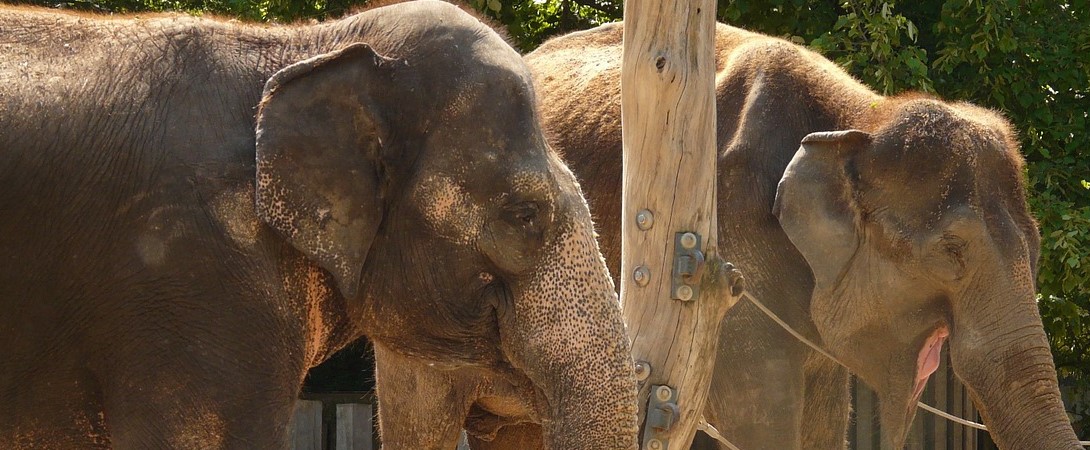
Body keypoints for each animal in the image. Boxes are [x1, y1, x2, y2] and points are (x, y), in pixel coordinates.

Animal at [523, 22, 1082, 449]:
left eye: (1036, 252)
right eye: (952, 250)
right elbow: (759, 417)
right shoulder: (729, 248)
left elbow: (825, 421)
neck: (859, 121)